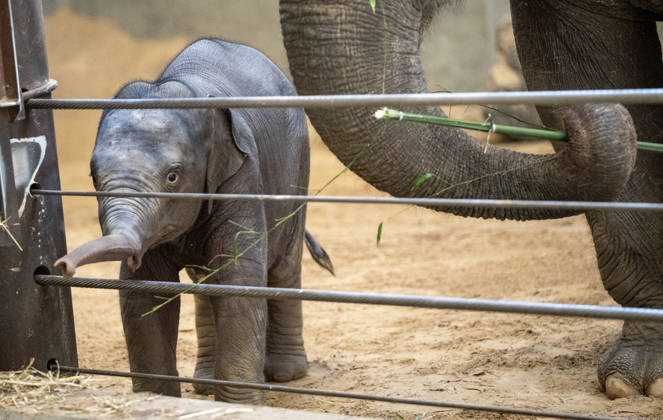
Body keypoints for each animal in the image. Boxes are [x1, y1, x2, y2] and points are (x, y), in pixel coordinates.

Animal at [54, 38, 334, 404]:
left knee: (283, 266)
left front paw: (242, 405)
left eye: (173, 177)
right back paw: (205, 384)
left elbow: (238, 278)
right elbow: (145, 289)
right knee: (205, 283)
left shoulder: (242, 174)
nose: (62, 266)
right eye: (94, 177)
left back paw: (285, 374)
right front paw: (156, 398)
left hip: (297, 167)